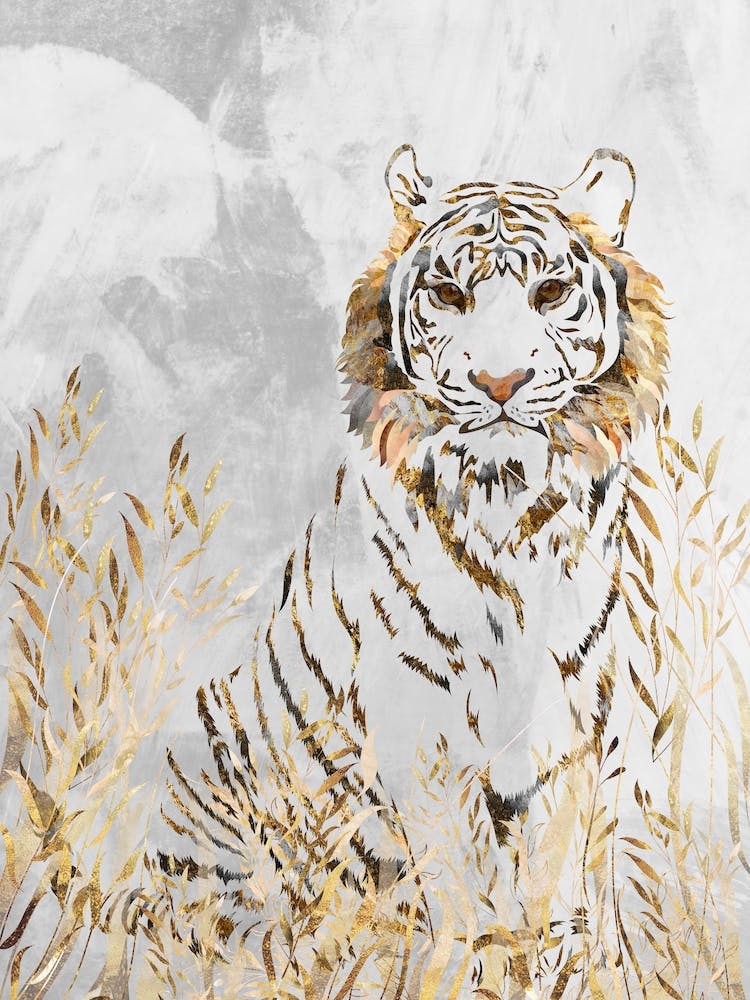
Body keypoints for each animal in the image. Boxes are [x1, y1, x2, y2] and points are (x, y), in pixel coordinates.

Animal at [158, 145, 668, 894]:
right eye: (451, 295)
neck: (505, 502)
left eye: (549, 292)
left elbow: (553, 878)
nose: (500, 382)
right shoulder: (419, 728)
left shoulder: (569, 719)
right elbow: (461, 894)